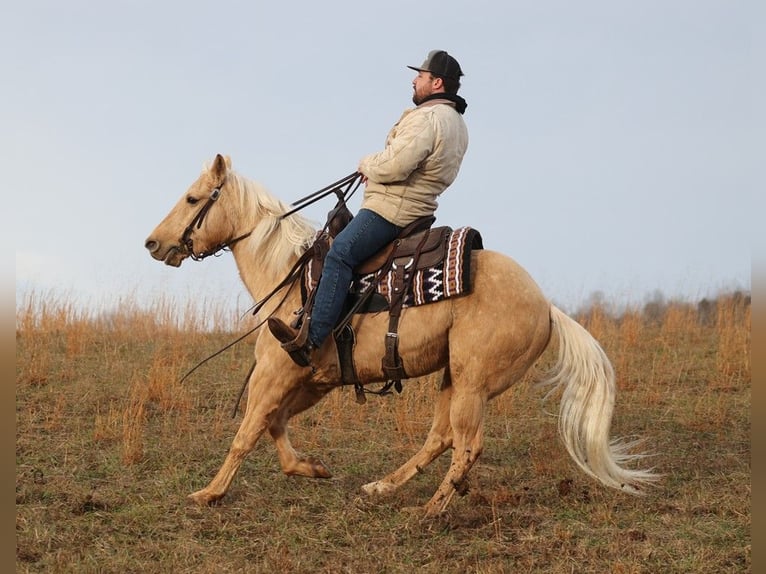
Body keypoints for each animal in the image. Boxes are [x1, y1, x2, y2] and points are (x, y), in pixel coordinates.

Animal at [146, 154, 660, 516]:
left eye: (193, 198)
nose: (153, 243)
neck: (291, 279)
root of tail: (547, 306)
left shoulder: (275, 373)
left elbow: (247, 433)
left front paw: (208, 493)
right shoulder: (311, 381)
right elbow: (275, 425)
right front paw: (312, 468)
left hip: (473, 381)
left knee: (466, 444)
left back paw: (429, 511)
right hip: (454, 376)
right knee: (441, 438)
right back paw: (383, 487)